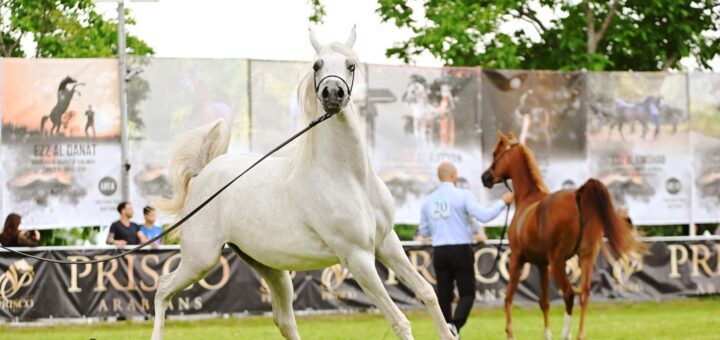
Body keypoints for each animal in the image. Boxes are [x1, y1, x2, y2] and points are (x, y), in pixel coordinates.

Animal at [151, 27, 452, 340]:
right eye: (317, 65)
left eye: (351, 65)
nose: (332, 93)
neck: (350, 179)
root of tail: (203, 174)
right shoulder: (357, 257)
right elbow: (399, 320)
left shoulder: (387, 243)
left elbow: (427, 292)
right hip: (200, 259)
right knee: (162, 289)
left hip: (270, 267)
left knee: (284, 319)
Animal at [484, 131, 640, 340]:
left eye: (495, 153)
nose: (485, 177)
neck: (528, 198)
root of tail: (579, 195)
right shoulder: (542, 264)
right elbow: (544, 302)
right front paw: (547, 335)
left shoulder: (518, 258)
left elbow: (508, 297)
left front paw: (510, 333)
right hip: (585, 258)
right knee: (584, 294)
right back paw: (580, 334)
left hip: (558, 263)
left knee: (569, 294)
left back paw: (566, 334)